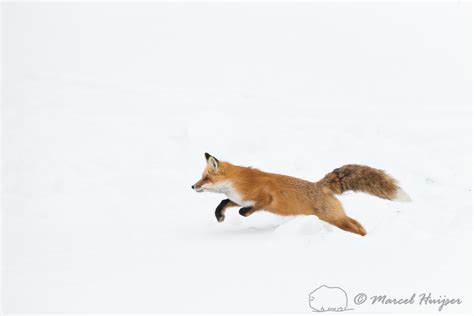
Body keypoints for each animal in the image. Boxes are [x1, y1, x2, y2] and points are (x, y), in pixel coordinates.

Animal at [191, 152, 410, 236]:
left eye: (205, 178)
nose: (193, 186)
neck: (238, 182)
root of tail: (319, 185)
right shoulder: (239, 198)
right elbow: (223, 202)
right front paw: (219, 216)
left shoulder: (266, 198)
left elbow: (248, 209)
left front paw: (241, 214)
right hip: (336, 217)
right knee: (356, 222)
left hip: (333, 218)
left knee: (354, 226)